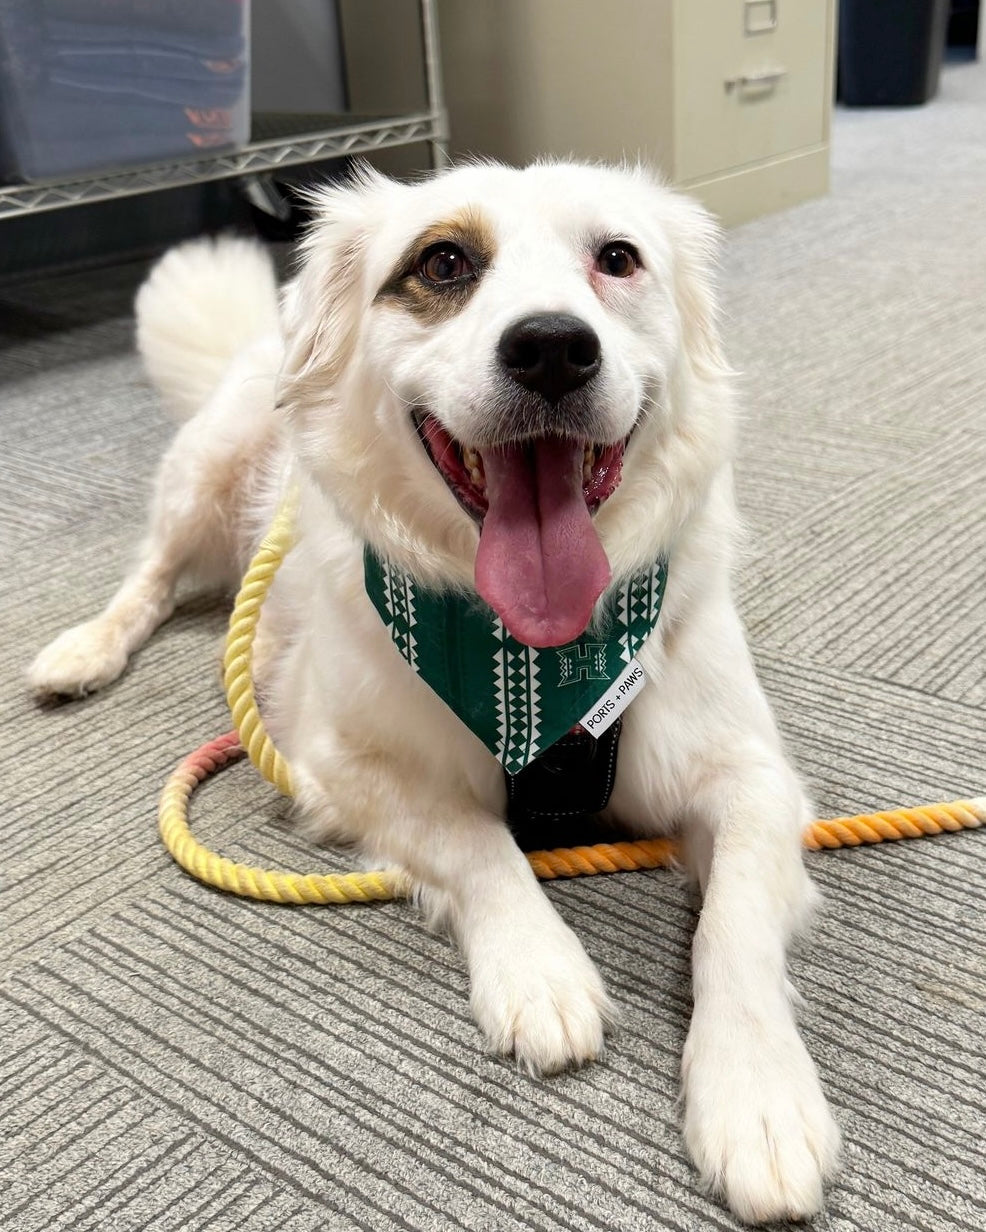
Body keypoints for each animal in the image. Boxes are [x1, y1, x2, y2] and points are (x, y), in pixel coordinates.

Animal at [34, 161, 843, 1222]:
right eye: (445, 263)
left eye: (617, 258)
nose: (553, 349)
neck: (533, 659)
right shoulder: (341, 764)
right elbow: (478, 842)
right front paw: (540, 970)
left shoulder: (752, 777)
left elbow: (736, 926)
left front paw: (758, 1097)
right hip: (203, 482)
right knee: (151, 579)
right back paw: (83, 651)